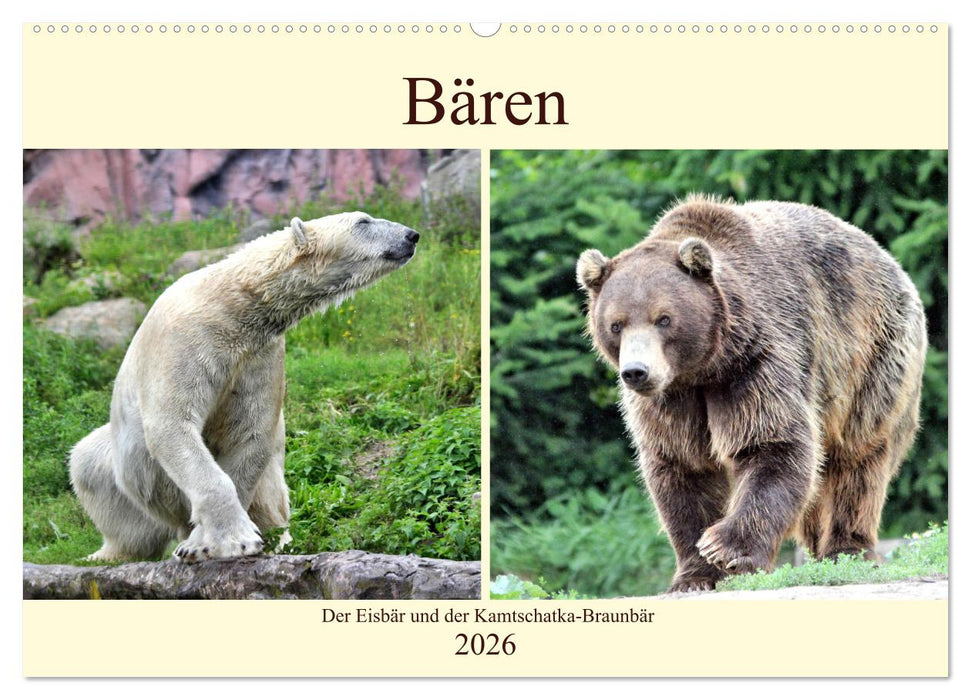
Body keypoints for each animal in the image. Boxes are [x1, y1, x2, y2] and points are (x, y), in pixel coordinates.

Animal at [70, 212, 419, 562]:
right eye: (363, 221)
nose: (412, 235)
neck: (235, 300)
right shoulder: (185, 339)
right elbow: (171, 422)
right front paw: (234, 540)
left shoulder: (259, 355)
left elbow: (249, 432)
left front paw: (205, 543)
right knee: (91, 466)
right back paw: (108, 554)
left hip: (271, 487)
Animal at [576, 196, 926, 593]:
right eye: (616, 324)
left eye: (663, 318)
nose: (637, 371)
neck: (704, 368)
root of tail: (890, 260)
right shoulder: (671, 400)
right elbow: (682, 467)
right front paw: (694, 575)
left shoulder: (756, 361)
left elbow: (771, 444)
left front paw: (724, 548)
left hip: (871, 356)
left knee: (857, 458)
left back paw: (846, 549)